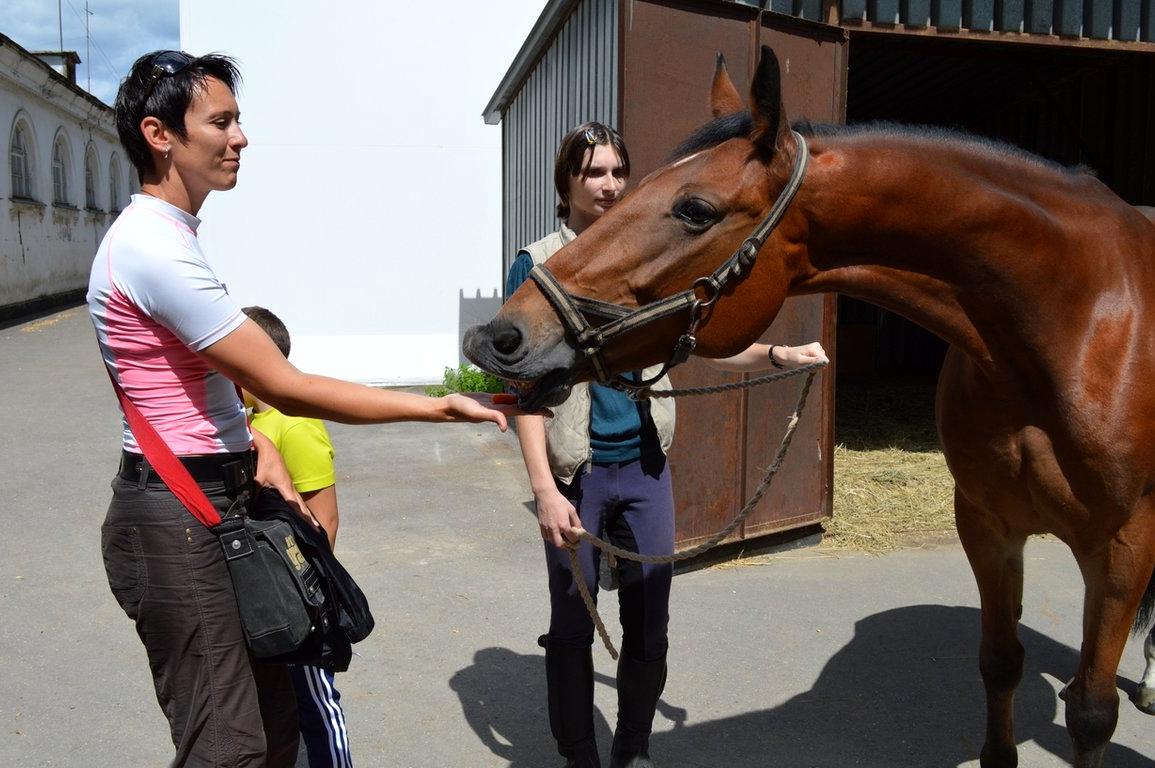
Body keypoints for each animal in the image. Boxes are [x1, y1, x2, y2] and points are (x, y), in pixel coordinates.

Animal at [464, 45, 1155, 762]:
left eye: (694, 209)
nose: (498, 337)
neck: (1070, 314)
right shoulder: (988, 523)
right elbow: (999, 663)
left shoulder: (1123, 542)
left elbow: (1091, 712)